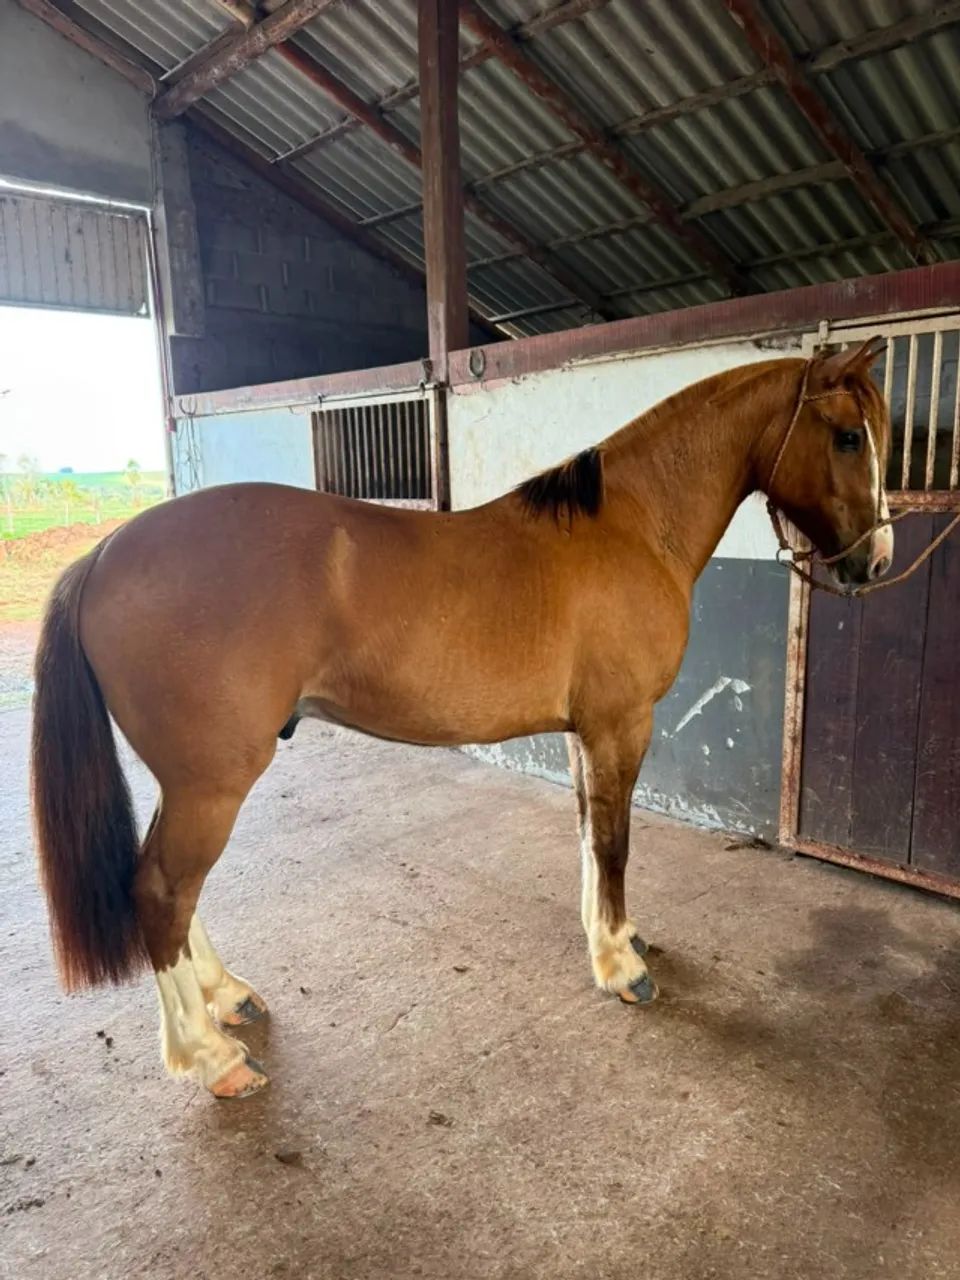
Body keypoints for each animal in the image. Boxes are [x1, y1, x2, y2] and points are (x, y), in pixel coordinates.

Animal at [30, 340, 893, 1099]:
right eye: (848, 436)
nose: (876, 560)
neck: (633, 524)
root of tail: (102, 555)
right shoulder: (621, 724)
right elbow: (614, 843)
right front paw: (623, 968)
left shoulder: (584, 732)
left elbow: (589, 833)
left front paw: (610, 939)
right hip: (212, 783)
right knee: (162, 892)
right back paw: (212, 1059)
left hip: (190, 783)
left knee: (172, 891)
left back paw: (228, 996)